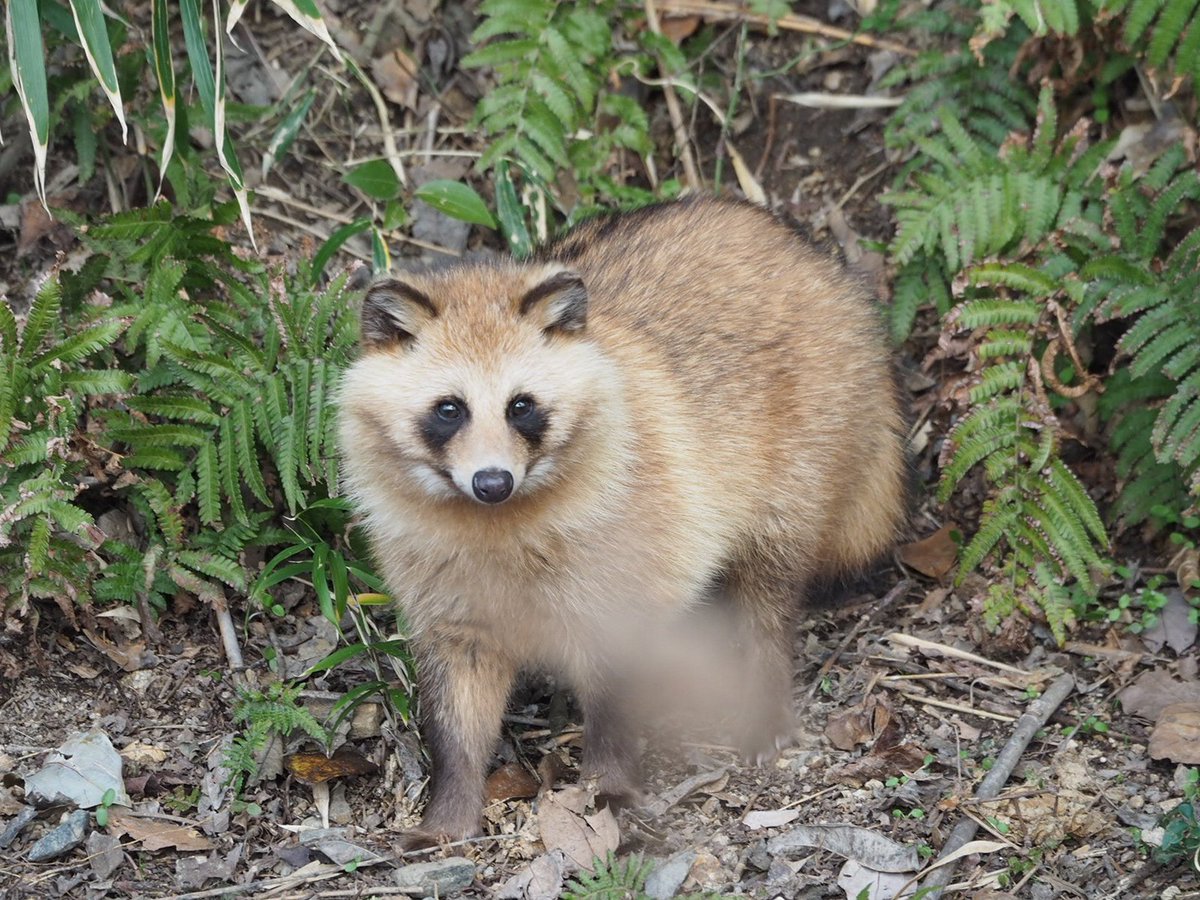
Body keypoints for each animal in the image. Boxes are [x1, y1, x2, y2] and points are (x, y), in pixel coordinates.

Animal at [338, 196, 907, 844]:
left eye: (521, 406)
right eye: (449, 409)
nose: (492, 483)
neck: (497, 526)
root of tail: (816, 261)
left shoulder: (620, 577)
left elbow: (614, 701)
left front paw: (608, 785)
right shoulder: (449, 610)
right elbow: (456, 719)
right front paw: (449, 810)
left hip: (796, 476)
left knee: (769, 600)